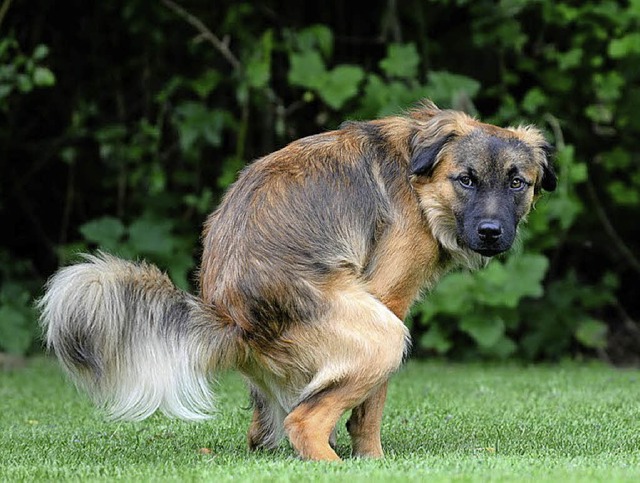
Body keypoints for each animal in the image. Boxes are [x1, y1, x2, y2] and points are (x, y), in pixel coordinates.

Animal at [38, 101, 556, 462]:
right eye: (465, 180)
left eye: (517, 183)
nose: (491, 232)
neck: (419, 179)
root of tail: (231, 318)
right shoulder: (388, 299)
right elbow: (370, 412)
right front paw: (373, 459)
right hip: (383, 335)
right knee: (304, 423)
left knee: (264, 432)